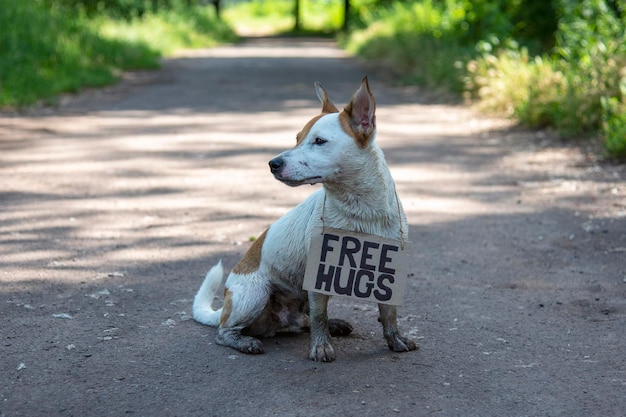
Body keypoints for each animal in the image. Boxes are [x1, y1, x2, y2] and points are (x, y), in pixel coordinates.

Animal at [190, 78, 414, 360]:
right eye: (297, 139)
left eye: (319, 141)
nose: (272, 164)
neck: (360, 209)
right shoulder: (318, 274)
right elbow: (319, 316)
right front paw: (321, 347)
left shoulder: (389, 269)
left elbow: (389, 313)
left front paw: (395, 339)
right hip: (255, 294)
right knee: (224, 332)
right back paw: (244, 341)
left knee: (304, 321)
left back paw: (333, 325)